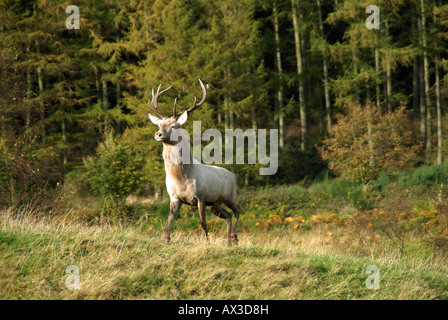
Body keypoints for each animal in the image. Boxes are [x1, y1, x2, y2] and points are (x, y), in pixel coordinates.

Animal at [148, 79, 240, 245]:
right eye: (159, 125)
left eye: (174, 126)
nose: (158, 134)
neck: (181, 179)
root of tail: (234, 175)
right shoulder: (174, 197)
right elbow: (169, 219)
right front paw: (166, 239)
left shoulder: (201, 196)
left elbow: (203, 222)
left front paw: (207, 242)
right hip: (214, 203)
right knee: (228, 215)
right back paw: (229, 242)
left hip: (229, 196)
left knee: (237, 210)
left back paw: (234, 238)